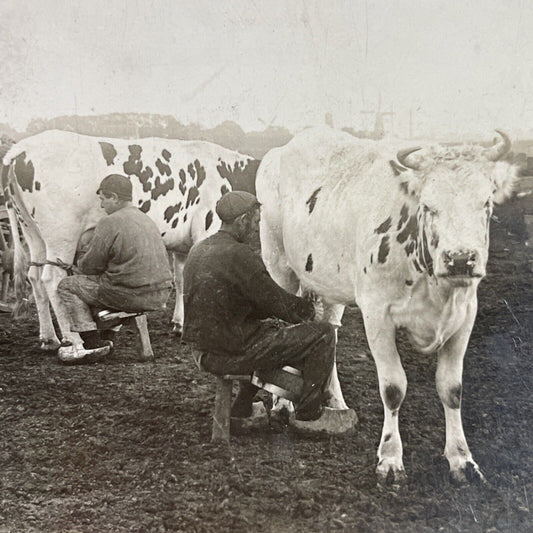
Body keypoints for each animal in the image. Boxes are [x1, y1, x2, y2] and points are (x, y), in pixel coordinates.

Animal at [0, 131, 258, 352]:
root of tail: (22, 148)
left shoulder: (182, 244)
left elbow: (182, 279)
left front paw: (179, 323)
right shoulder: (206, 229)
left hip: (32, 231)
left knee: (34, 275)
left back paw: (49, 339)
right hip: (62, 232)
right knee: (52, 279)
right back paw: (75, 341)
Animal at [256, 125, 516, 482]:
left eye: (486, 202)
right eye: (429, 206)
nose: (461, 259)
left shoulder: (465, 314)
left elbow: (452, 388)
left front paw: (462, 458)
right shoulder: (377, 314)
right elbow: (393, 387)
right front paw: (390, 458)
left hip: (330, 283)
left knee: (328, 332)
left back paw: (336, 402)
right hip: (279, 267)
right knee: (289, 323)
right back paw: (282, 405)